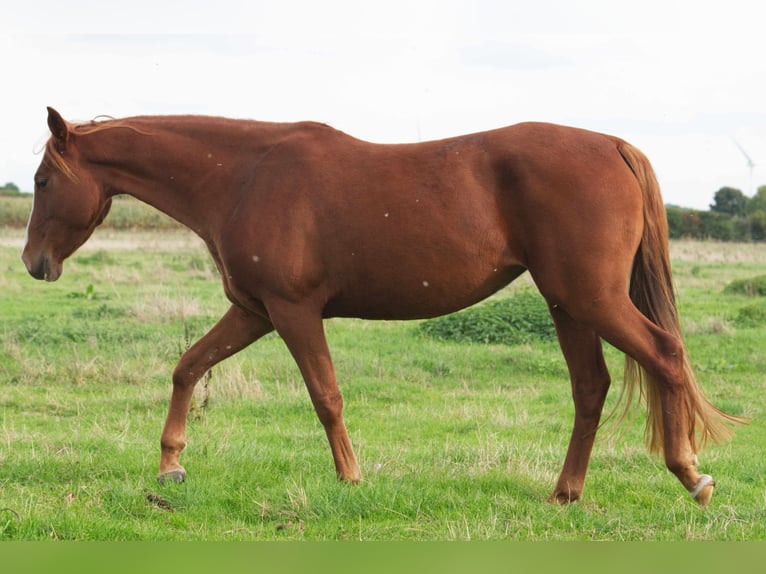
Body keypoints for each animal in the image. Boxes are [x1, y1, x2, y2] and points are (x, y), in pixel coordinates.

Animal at [22, 107, 740, 506]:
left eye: (42, 180)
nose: (34, 263)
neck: (244, 176)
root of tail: (613, 145)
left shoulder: (292, 311)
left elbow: (325, 396)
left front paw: (350, 479)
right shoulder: (254, 311)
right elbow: (187, 367)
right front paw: (171, 464)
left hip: (591, 300)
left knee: (665, 356)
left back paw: (690, 476)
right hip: (568, 304)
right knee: (591, 388)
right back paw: (565, 493)